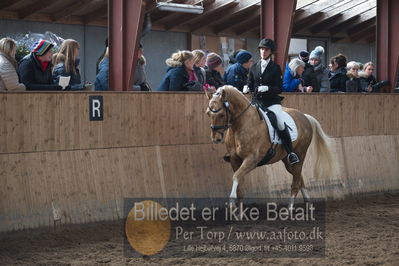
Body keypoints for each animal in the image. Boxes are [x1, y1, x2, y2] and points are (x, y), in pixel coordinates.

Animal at [206, 86, 334, 207]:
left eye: (221, 115)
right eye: (208, 113)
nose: (216, 138)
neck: (242, 125)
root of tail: (305, 116)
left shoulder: (251, 160)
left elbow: (236, 177)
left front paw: (232, 203)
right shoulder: (234, 160)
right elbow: (240, 188)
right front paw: (239, 212)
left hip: (300, 154)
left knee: (296, 182)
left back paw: (289, 209)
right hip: (287, 160)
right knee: (299, 178)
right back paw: (308, 203)